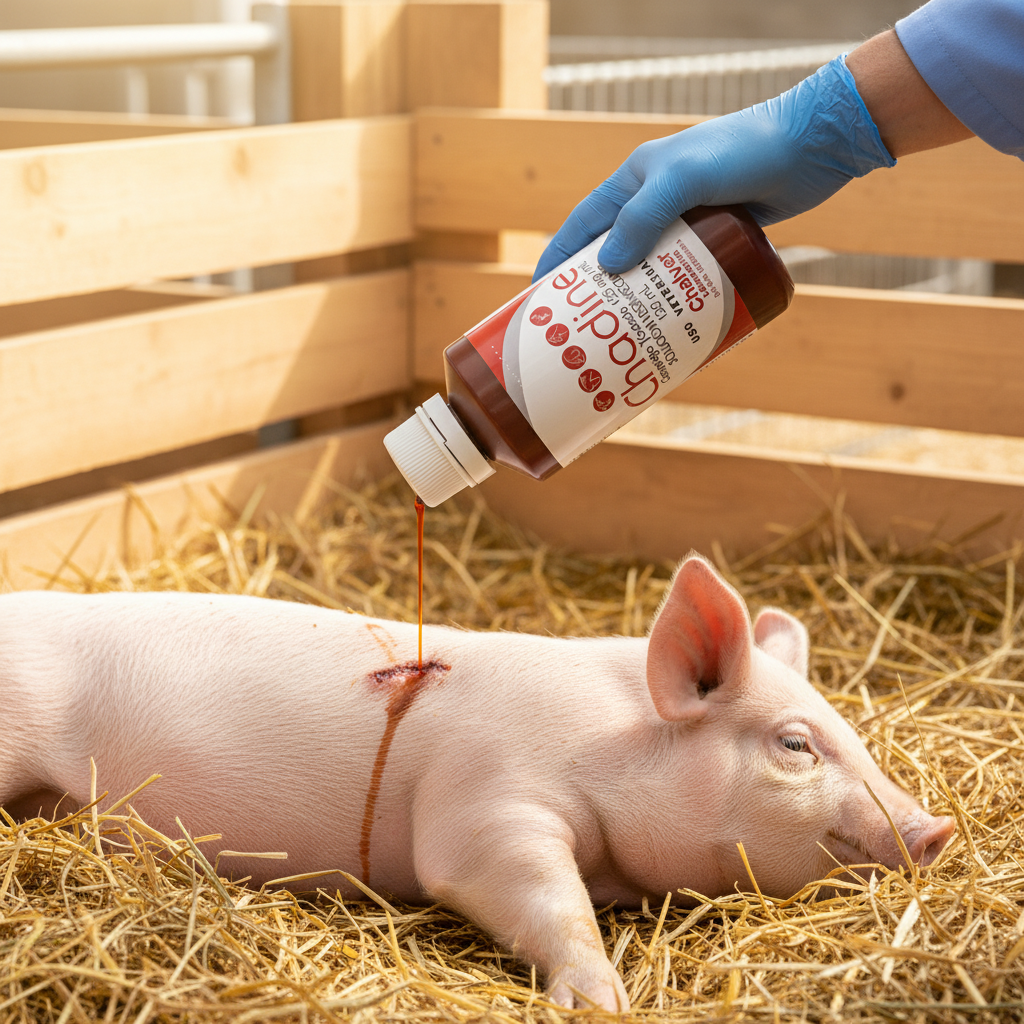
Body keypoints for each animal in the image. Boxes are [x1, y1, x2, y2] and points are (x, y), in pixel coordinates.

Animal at [0, 555, 954, 1012]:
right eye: (796, 743)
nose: (937, 829)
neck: (611, 745)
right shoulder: (485, 801)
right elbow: (527, 887)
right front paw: (602, 1000)